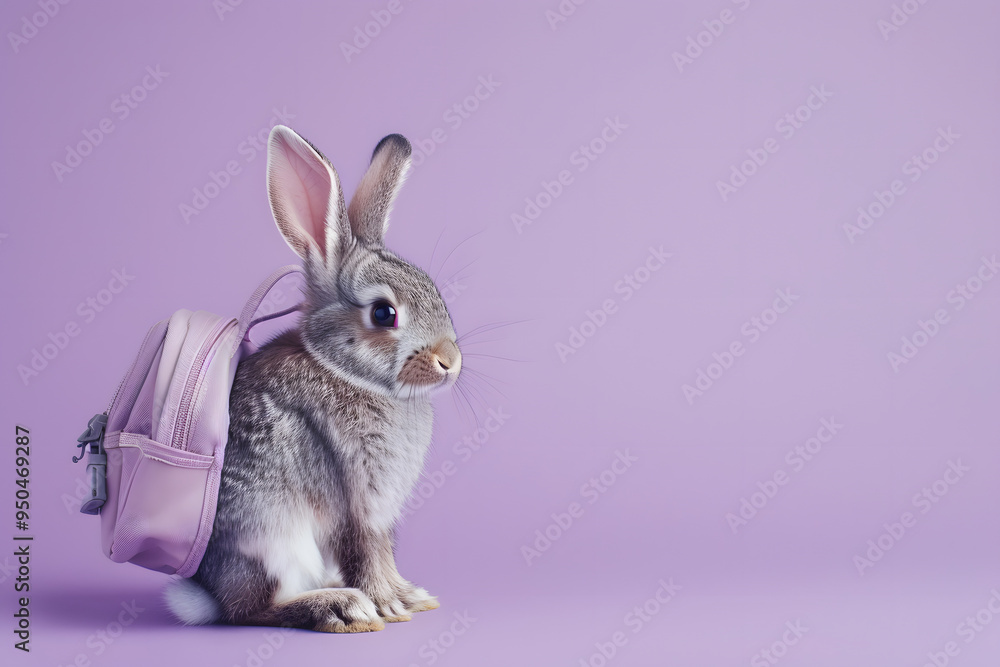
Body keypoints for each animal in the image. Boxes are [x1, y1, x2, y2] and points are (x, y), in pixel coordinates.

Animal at [164, 125, 462, 633]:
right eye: (384, 313)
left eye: (434, 292)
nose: (450, 361)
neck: (346, 371)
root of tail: (211, 598)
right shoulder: (354, 500)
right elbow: (363, 552)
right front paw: (388, 605)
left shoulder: (380, 513)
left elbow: (382, 552)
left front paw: (410, 598)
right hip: (272, 538)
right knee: (252, 611)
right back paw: (339, 607)